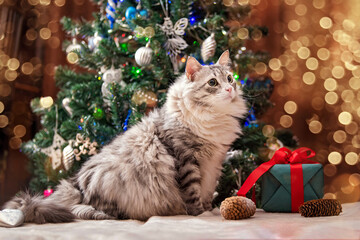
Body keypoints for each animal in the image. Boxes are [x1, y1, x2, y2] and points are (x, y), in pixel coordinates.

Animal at [3, 50, 248, 223]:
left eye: (230, 78)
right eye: (213, 83)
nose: (229, 90)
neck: (214, 117)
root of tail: (75, 183)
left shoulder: (213, 163)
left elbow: (207, 191)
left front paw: (210, 209)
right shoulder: (187, 159)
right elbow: (193, 193)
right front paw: (200, 214)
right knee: (83, 210)